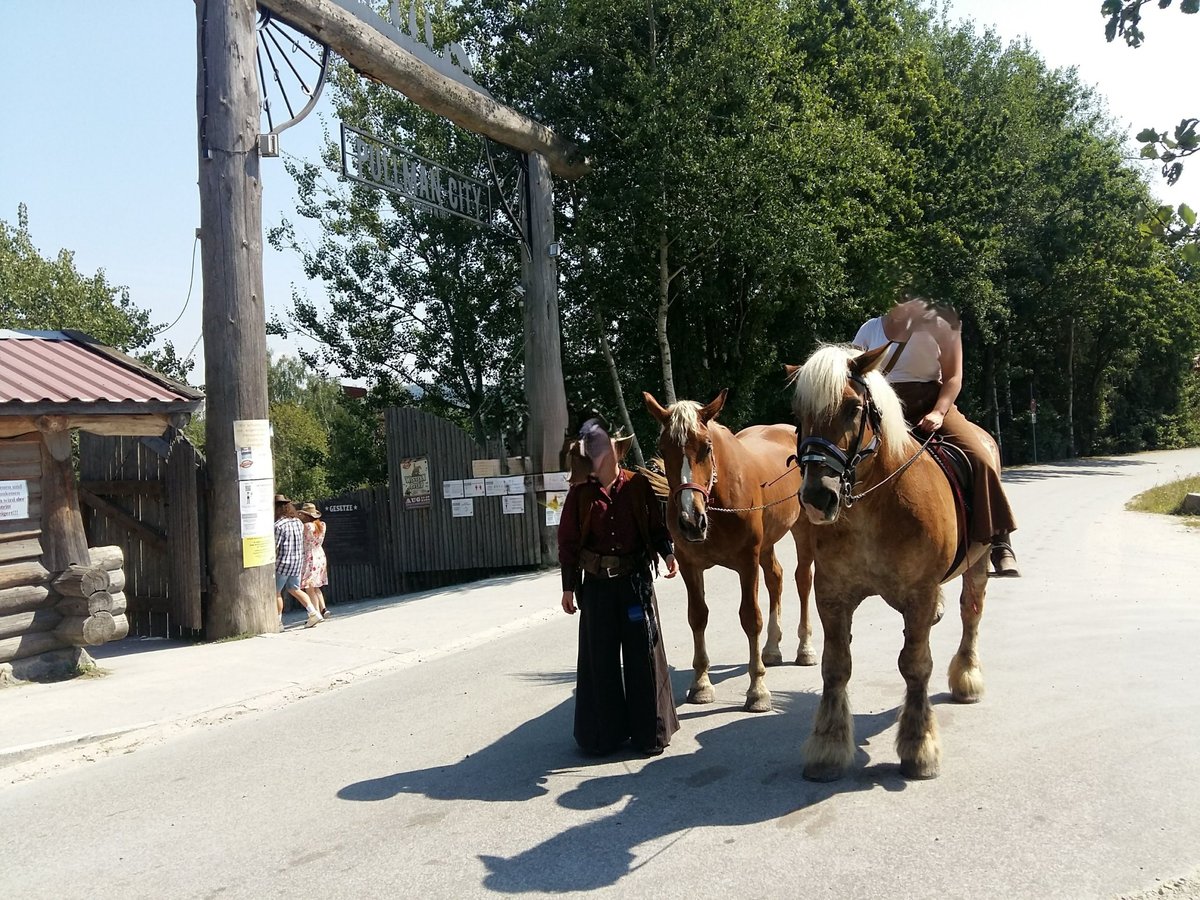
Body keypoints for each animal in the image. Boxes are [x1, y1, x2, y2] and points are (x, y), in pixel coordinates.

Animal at [643, 391, 820, 715]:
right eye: (663, 448)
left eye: (706, 446)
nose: (690, 520)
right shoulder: (689, 565)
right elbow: (697, 616)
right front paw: (701, 684)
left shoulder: (747, 561)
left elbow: (750, 618)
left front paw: (758, 690)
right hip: (768, 543)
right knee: (775, 578)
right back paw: (771, 648)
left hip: (802, 528)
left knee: (803, 579)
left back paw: (805, 648)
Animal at [782, 345, 988, 782]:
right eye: (799, 413)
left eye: (853, 408)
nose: (817, 497)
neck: (875, 505)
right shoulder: (831, 593)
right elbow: (836, 666)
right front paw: (828, 746)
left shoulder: (919, 594)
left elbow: (915, 665)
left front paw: (919, 746)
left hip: (977, 567)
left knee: (971, 615)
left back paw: (967, 676)